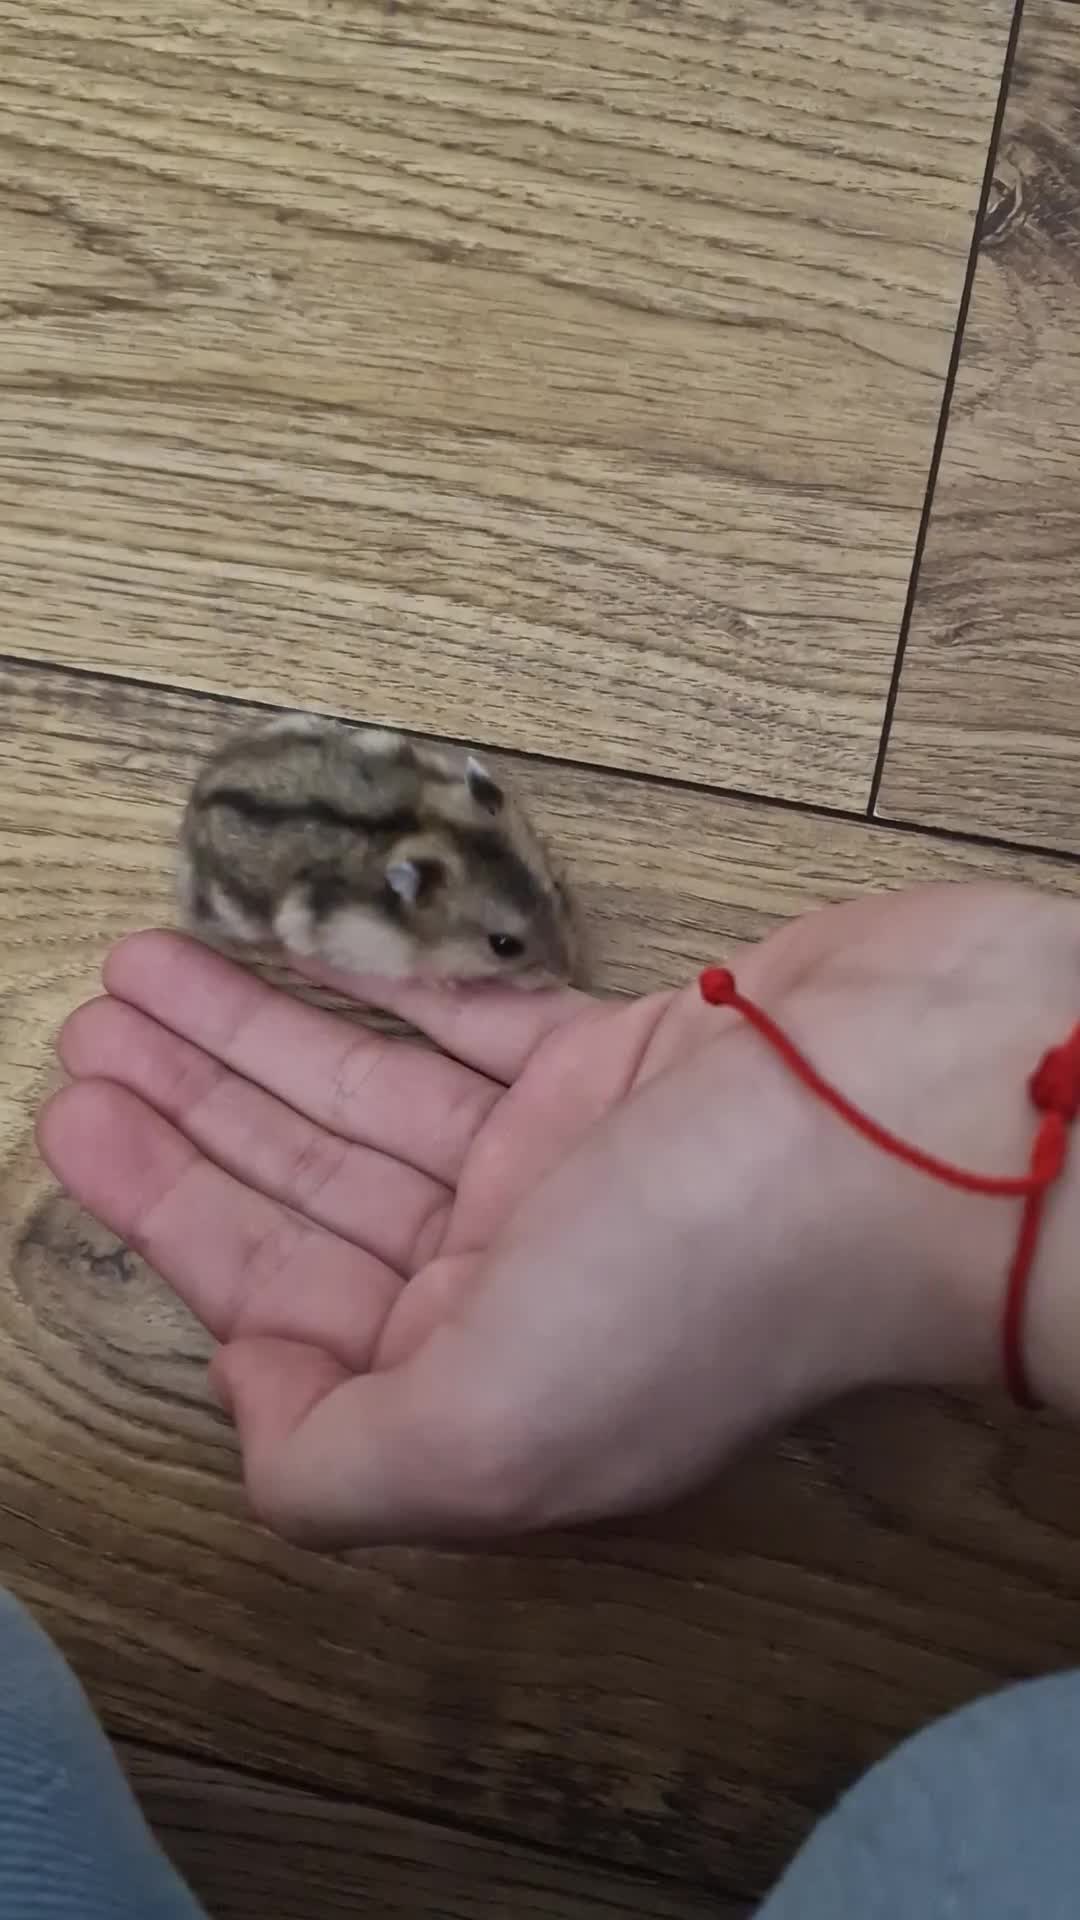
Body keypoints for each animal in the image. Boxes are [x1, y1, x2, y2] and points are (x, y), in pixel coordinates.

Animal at [178, 714, 580, 986]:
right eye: (503, 945)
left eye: (556, 889)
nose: (568, 974)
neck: (418, 828)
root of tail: (197, 797)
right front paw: (447, 982)